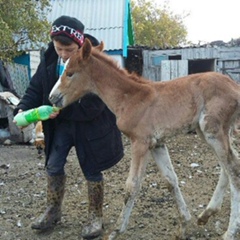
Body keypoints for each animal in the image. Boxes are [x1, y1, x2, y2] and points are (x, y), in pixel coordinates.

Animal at [48, 38, 240, 239]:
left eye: (70, 73)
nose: (52, 97)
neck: (129, 98)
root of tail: (235, 87)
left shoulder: (140, 143)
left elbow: (132, 186)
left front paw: (115, 231)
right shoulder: (157, 144)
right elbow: (171, 180)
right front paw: (184, 226)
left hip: (213, 131)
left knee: (233, 169)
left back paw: (230, 231)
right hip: (208, 132)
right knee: (228, 166)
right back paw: (206, 214)